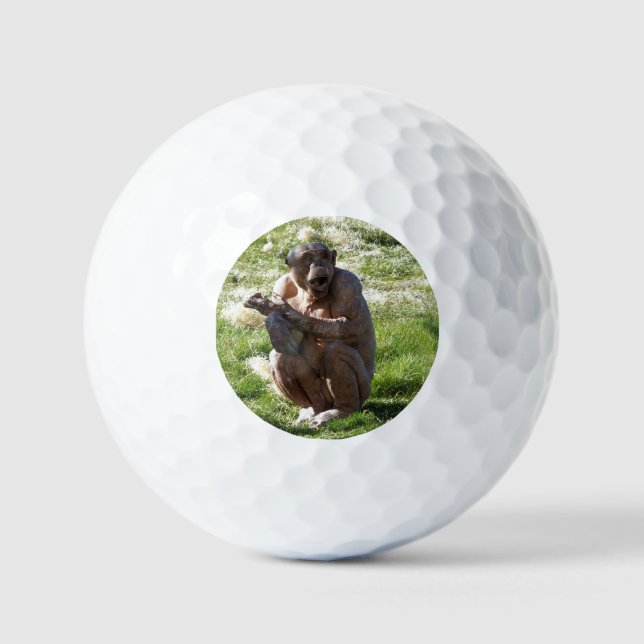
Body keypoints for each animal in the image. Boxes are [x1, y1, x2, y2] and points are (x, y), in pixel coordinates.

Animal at [243, 242, 376, 428]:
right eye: (308, 259)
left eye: (322, 256)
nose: (317, 263)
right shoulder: (281, 284)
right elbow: (285, 334)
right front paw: (274, 323)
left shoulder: (348, 283)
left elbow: (350, 324)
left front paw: (280, 308)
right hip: (320, 398)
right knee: (281, 356)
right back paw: (309, 410)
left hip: (363, 392)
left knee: (336, 352)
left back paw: (341, 411)